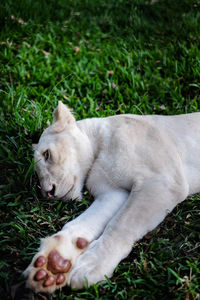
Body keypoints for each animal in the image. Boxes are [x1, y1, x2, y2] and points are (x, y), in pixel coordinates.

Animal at [23, 101, 198, 292]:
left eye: (47, 154)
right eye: (37, 175)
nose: (48, 192)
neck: (99, 148)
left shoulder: (162, 181)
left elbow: (121, 225)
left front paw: (90, 267)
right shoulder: (114, 192)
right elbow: (82, 223)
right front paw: (52, 265)